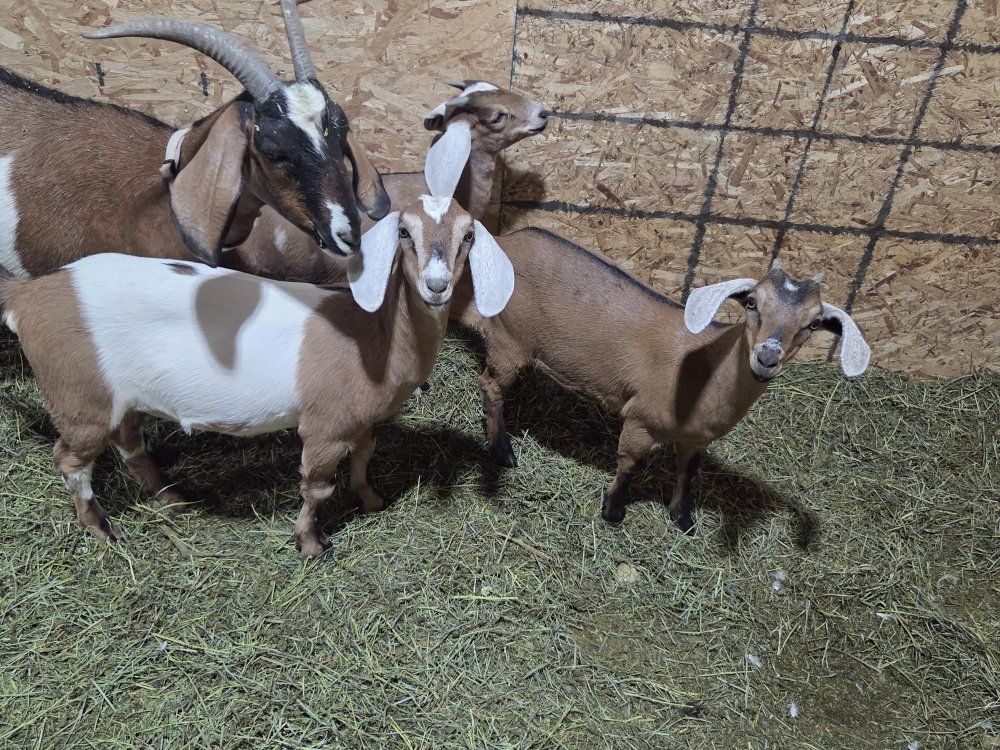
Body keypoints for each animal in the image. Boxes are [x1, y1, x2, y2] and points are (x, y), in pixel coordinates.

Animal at [0, 187, 513, 556]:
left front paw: (370, 500)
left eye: (468, 236)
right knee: (70, 460)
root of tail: (29, 297)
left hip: (122, 397)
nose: (436, 285)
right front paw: (311, 544)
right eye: (404, 232)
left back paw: (175, 499)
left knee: (130, 448)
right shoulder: (325, 427)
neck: (374, 337)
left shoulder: (359, 420)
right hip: (80, 396)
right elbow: (316, 487)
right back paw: (102, 529)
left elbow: (365, 456)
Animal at [470, 234, 871, 532]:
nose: (767, 357)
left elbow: (688, 471)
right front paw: (613, 511)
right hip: (508, 338)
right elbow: (629, 465)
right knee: (490, 385)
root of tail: (505, 240)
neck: (704, 371)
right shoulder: (640, 420)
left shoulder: (695, 438)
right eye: (752, 302)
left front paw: (682, 517)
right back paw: (502, 451)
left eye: (813, 323)